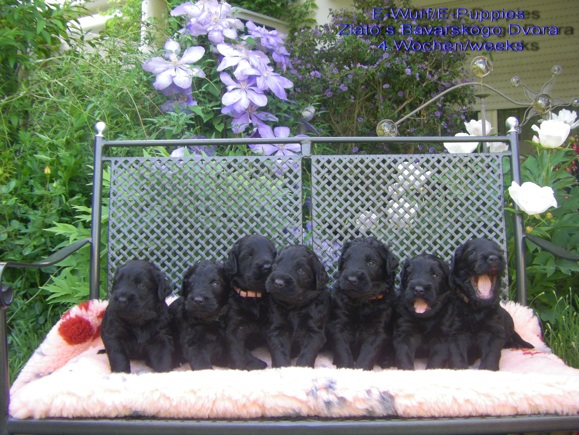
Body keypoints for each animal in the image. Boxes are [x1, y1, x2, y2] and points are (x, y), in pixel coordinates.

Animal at [223, 234, 276, 370]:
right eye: (248, 255)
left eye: (272, 254)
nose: (267, 267)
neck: (254, 296)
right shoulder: (234, 327)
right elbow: (236, 351)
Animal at [326, 236, 399, 370]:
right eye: (345, 260)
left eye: (371, 262)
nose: (351, 280)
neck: (361, 303)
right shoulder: (338, 325)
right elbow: (343, 351)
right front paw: (345, 367)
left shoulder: (377, 331)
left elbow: (368, 355)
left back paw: (387, 359)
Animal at [449, 238, 533, 370]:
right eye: (472, 252)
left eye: (498, 250)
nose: (494, 258)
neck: (476, 308)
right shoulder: (457, 332)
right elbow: (457, 355)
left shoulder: (494, 332)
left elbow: (491, 355)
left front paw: (488, 370)